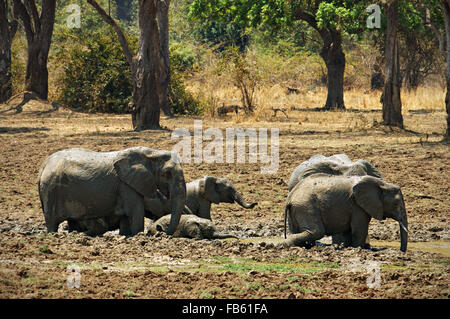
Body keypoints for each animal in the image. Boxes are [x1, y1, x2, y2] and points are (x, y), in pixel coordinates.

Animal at [37, 146, 186, 236]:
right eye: (167, 173)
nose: (162, 232)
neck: (151, 153)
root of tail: (44, 165)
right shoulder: (125, 184)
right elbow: (136, 211)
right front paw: (137, 235)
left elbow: (126, 215)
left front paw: (126, 235)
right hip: (51, 190)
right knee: (52, 222)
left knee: (72, 221)